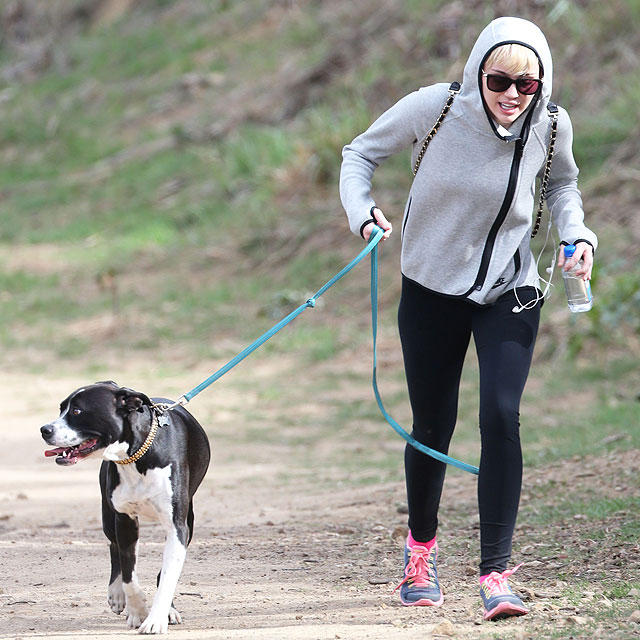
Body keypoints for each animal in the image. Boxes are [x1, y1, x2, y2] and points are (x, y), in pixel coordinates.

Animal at [40, 382, 210, 632]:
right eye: (61, 409)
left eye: (77, 411)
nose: (44, 429)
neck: (137, 456)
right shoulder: (125, 520)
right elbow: (129, 575)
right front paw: (137, 610)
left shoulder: (177, 527)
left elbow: (167, 576)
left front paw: (156, 618)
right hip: (108, 517)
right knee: (114, 548)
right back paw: (118, 595)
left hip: (189, 519)